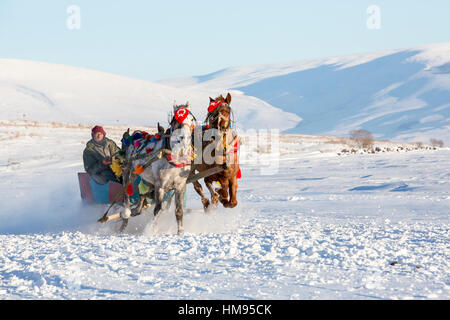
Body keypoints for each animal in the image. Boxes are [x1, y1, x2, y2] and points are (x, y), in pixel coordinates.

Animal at [120, 104, 196, 234]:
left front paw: (180, 232)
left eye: (191, 119)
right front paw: (150, 230)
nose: (185, 139)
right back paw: (126, 213)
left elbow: (179, 211)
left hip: (148, 181)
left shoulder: (180, 186)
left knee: (142, 197)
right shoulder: (160, 186)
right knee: (126, 192)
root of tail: (133, 137)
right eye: (177, 121)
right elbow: (158, 209)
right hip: (129, 172)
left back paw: (134, 211)